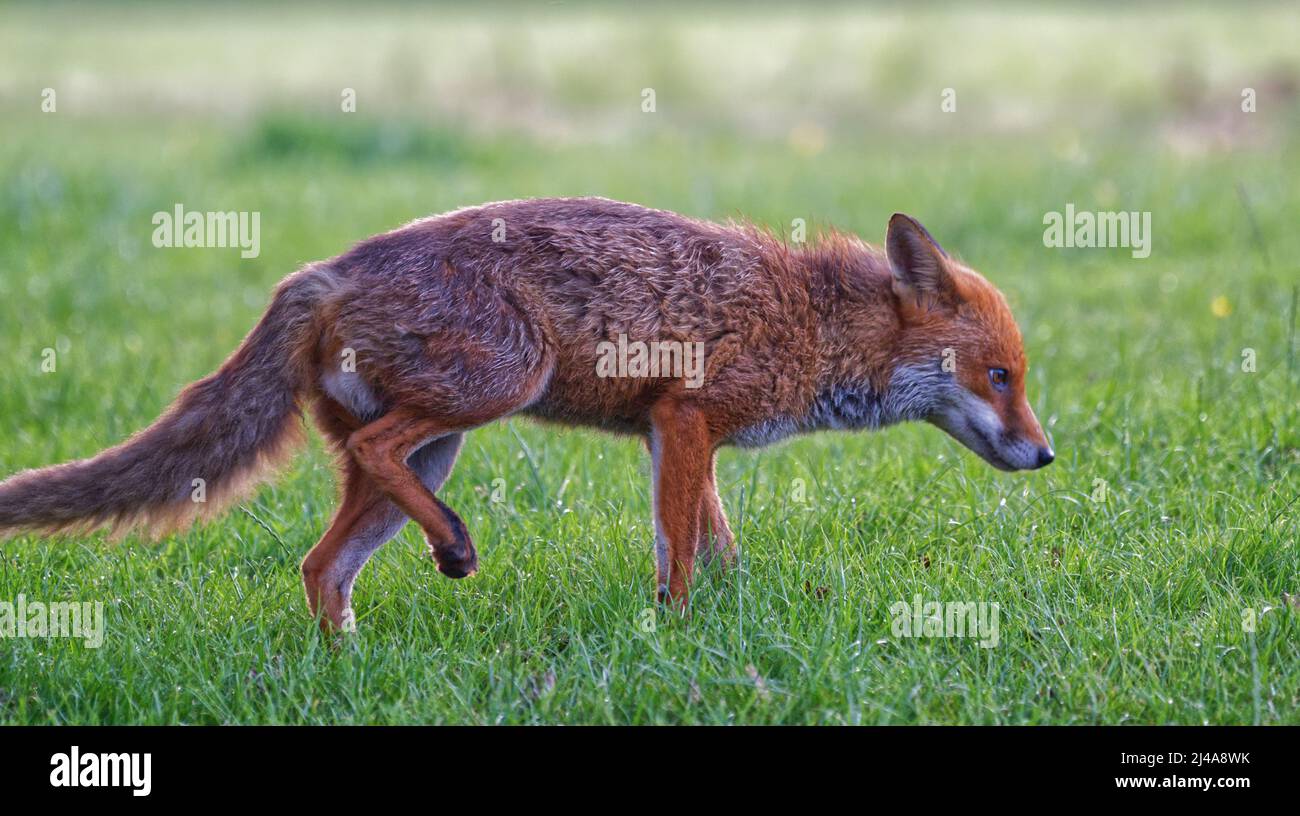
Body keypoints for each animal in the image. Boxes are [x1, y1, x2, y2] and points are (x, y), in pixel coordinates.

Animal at [0, 198, 1052, 631]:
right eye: (1001, 376)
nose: (1045, 457)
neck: (808, 317)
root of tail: (322, 270)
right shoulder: (686, 421)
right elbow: (681, 557)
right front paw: (674, 633)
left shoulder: (681, 439)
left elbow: (720, 548)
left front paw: (732, 622)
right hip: (494, 390)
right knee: (375, 460)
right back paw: (455, 547)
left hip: (438, 448)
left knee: (320, 563)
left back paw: (347, 665)